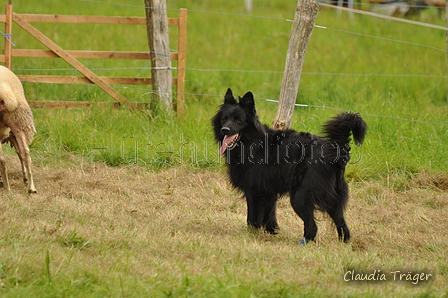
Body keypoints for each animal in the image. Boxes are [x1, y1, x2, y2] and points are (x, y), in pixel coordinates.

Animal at [0, 65, 36, 193]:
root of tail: (5, 92)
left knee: (4, 159)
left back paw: (7, 187)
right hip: (18, 123)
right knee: (25, 152)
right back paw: (31, 187)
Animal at [212, 88, 366, 244]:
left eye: (238, 120)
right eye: (224, 119)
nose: (225, 130)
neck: (252, 142)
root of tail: (335, 151)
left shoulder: (253, 190)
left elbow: (252, 218)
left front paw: (251, 235)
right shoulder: (269, 191)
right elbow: (270, 215)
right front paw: (272, 231)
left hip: (300, 197)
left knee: (312, 227)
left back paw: (303, 243)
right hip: (333, 199)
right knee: (342, 224)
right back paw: (343, 243)